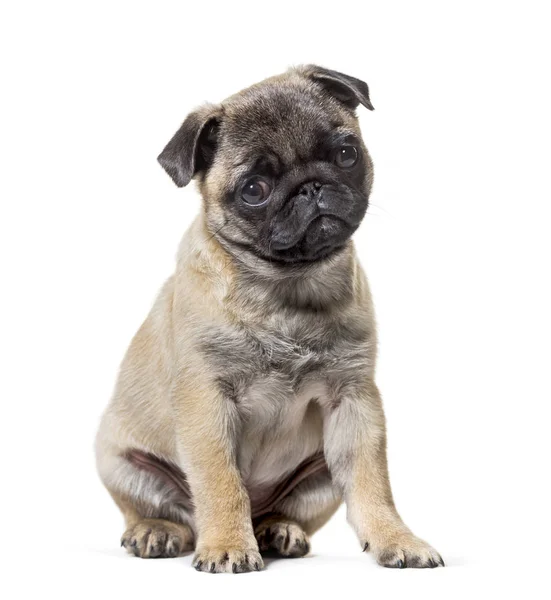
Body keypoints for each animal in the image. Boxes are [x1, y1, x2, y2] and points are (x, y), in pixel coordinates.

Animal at [96, 64, 444, 572]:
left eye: (345, 154)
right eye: (254, 190)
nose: (311, 187)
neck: (288, 289)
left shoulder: (355, 403)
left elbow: (372, 484)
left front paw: (396, 538)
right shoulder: (207, 403)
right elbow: (220, 482)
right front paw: (226, 545)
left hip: (320, 476)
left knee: (285, 509)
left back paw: (278, 530)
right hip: (121, 463)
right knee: (165, 512)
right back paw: (158, 530)